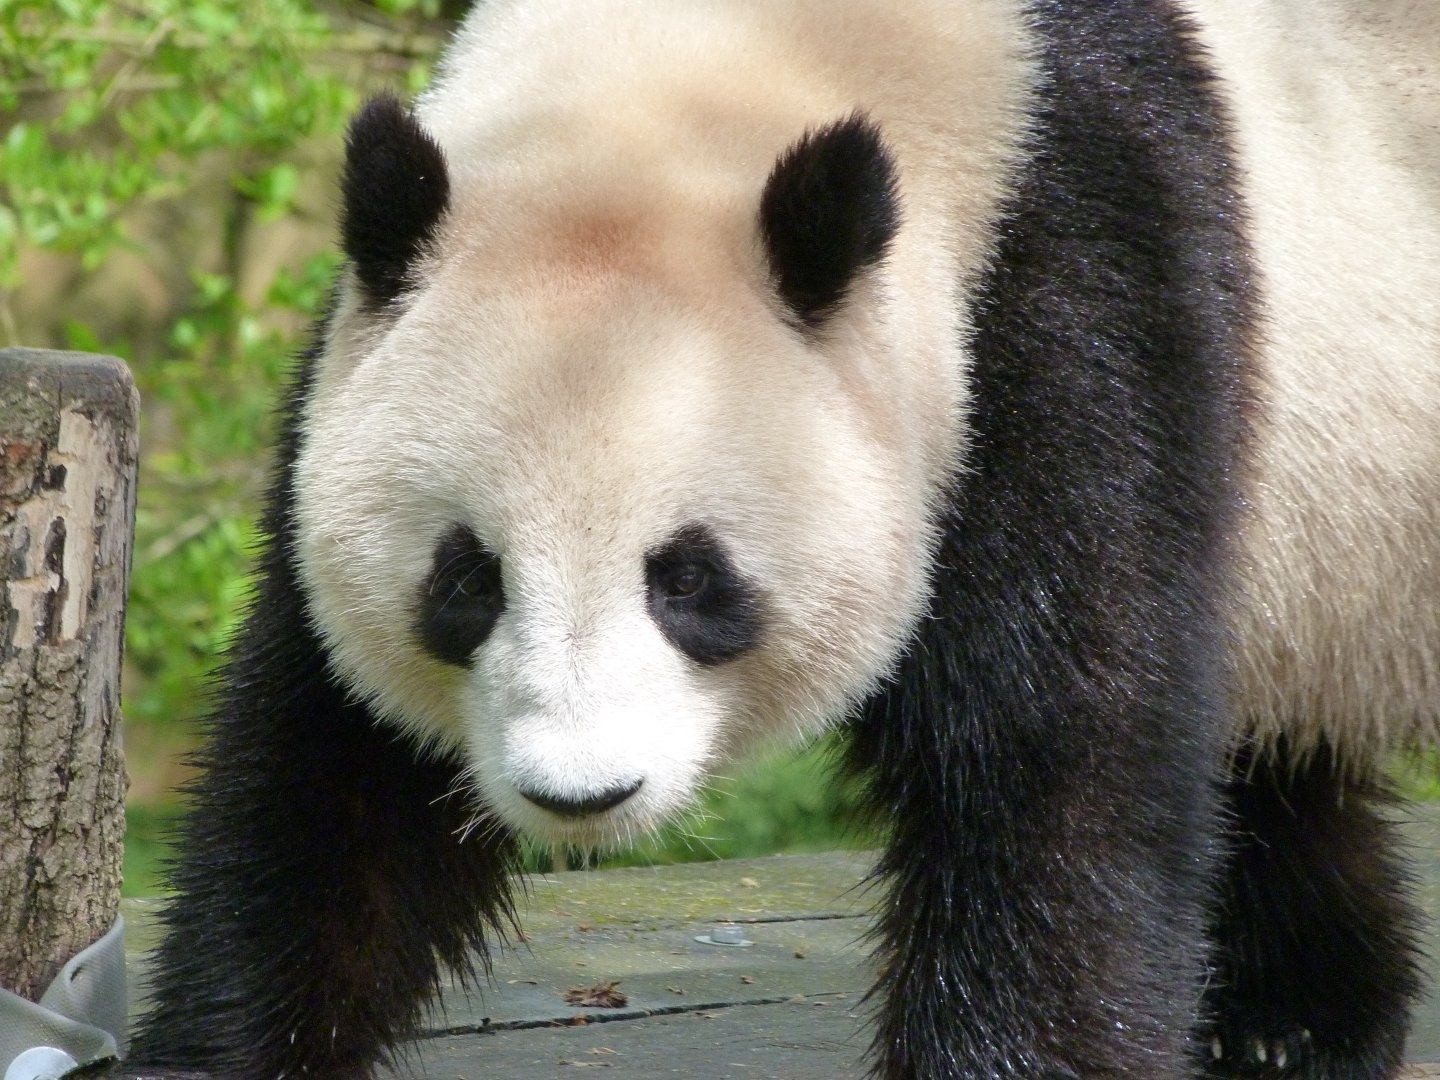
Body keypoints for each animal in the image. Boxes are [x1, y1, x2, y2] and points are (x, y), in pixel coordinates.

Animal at [125, 0, 1440, 1077]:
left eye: (690, 578)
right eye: (467, 581)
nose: (582, 793)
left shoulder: (1073, 302)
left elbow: (1062, 765)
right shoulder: (353, 370)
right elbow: (337, 786)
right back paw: (1293, 1021)